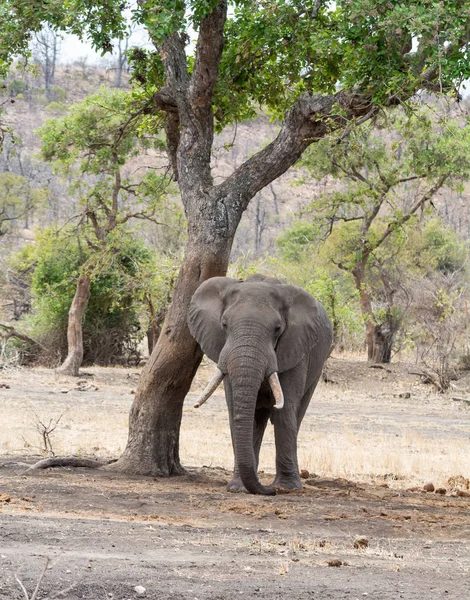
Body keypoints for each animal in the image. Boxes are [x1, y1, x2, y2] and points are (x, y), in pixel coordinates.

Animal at [188, 274, 334, 494]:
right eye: (224, 325)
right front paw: (238, 488)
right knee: (257, 419)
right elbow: (236, 411)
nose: (269, 491)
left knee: (296, 413)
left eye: (277, 329)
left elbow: (284, 412)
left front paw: (286, 487)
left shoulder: (296, 350)